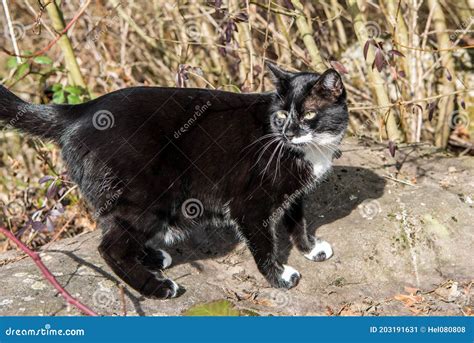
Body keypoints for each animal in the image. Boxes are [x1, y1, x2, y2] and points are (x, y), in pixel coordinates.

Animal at [0, 63, 348, 298]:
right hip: (147, 197)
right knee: (110, 247)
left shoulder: (294, 193)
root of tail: (79, 111)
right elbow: (264, 244)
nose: (286, 132)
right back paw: (157, 287)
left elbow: (297, 221)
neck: (306, 149)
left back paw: (152, 257)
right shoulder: (250, 204)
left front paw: (310, 249)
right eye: (280, 116)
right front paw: (279, 277)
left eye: (307, 115)